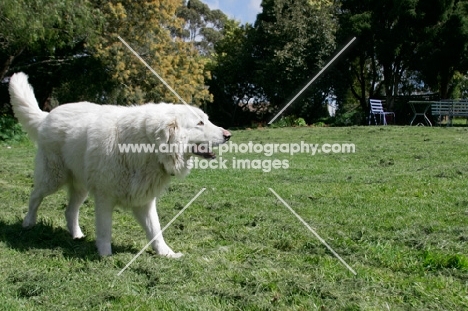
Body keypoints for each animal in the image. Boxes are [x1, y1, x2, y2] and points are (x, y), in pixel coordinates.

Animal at [8, 73, 231, 258]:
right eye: (200, 123)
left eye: (207, 120)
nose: (228, 135)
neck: (146, 146)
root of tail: (47, 116)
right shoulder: (105, 198)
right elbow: (105, 229)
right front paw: (105, 256)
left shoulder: (144, 201)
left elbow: (156, 231)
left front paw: (167, 254)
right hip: (53, 178)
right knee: (35, 196)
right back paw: (28, 223)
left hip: (80, 187)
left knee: (70, 211)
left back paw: (77, 236)